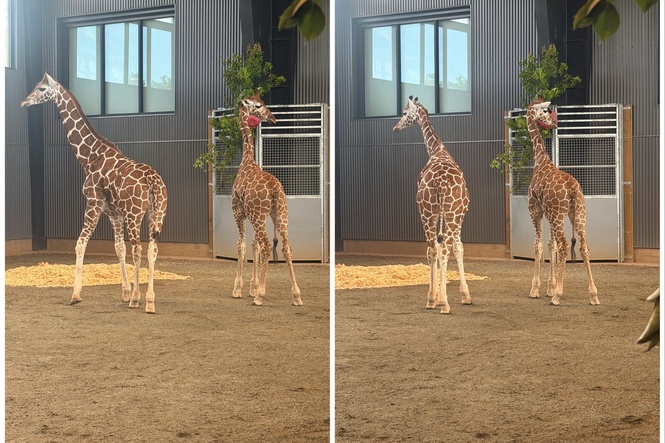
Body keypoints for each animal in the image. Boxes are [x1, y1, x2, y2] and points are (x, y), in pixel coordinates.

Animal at [21, 73, 168, 314]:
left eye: (41, 88)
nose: (25, 102)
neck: (89, 157)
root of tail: (153, 181)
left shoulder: (93, 203)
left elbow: (80, 244)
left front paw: (75, 294)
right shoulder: (113, 213)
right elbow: (119, 248)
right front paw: (125, 292)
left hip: (135, 214)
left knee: (139, 248)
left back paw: (138, 299)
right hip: (156, 213)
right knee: (152, 249)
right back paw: (149, 300)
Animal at [230, 91, 302, 306]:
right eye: (258, 105)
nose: (273, 117)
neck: (247, 161)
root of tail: (275, 190)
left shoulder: (238, 212)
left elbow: (242, 245)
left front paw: (239, 289)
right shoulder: (251, 216)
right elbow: (253, 246)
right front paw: (252, 287)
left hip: (260, 215)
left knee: (268, 245)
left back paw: (260, 295)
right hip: (280, 214)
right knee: (286, 247)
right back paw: (296, 295)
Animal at [393, 96, 471, 314]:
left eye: (404, 113)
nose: (396, 127)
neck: (438, 150)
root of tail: (441, 183)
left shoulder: (450, 215)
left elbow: (452, 247)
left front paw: (460, 295)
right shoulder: (457, 214)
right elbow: (458, 247)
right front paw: (464, 295)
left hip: (429, 212)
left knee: (434, 248)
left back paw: (434, 300)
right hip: (442, 212)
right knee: (440, 248)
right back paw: (441, 301)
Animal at [526, 99, 599, 306]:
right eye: (546, 110)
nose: (554, 124)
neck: (541, 160)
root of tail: (572, 189)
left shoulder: (535, 210)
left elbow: (538, 245)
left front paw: (537, 289)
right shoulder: (548, 214)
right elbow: (551, 245)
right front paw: (549, 286)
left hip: (559, 216)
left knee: (566, 245)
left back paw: (558, 295)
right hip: (578, 214)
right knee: (583, 247)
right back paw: (593, 295)